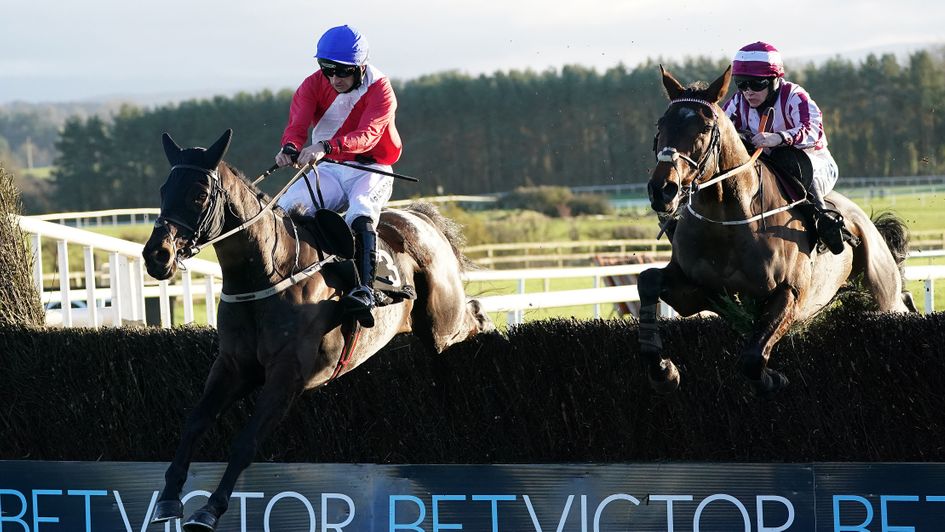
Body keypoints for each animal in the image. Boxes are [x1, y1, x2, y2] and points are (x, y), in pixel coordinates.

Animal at [143, 130, 494, 532]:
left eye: (199, 195)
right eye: (163, 189)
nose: (156, 255)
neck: (268, 273)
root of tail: (420, 217)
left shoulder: (287, 376)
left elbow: (246, 442)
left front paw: (210, 509)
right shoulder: (233, 366)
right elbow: (195, 421)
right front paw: (168, 498)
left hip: (441, 323)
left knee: (470, 315)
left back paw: (490, 323)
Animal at [636, 66, 916, 396]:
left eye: (704, 127)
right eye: (662, 123)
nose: (662, 190)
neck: (726, 223)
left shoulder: (789, 294)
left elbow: (753, 358)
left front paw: (772, 378)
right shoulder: (699, 293)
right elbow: (648, 280)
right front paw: (664, 371)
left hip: (882, 291)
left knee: (900, 302)